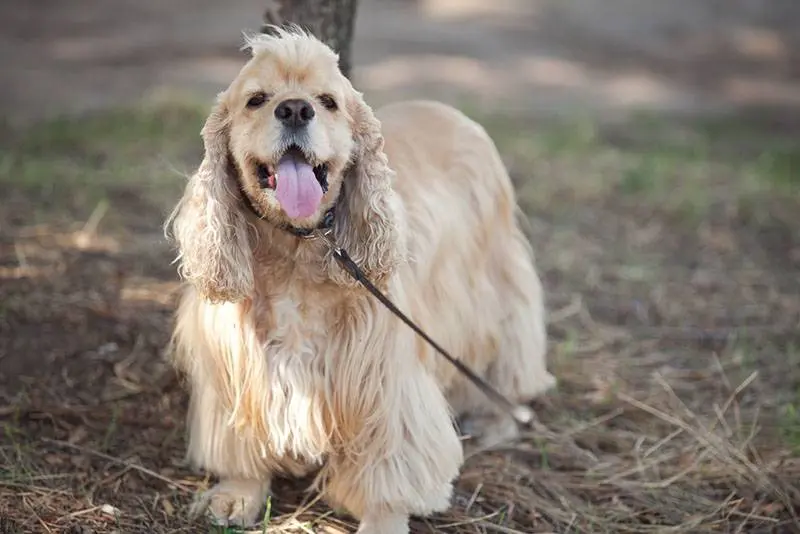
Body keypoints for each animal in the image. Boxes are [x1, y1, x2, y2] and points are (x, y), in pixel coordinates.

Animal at [166, 27, 552, 534]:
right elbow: (242, 444)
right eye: (257, 100)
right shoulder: (236, 367)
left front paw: (382, 520)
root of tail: (449, 109)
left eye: (328, 101)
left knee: (507, 362)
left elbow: (389, 466)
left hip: (497, 285)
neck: (299, 250)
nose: (295, 109)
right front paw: (237, 494)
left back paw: (494, 421)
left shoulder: (385, 383)